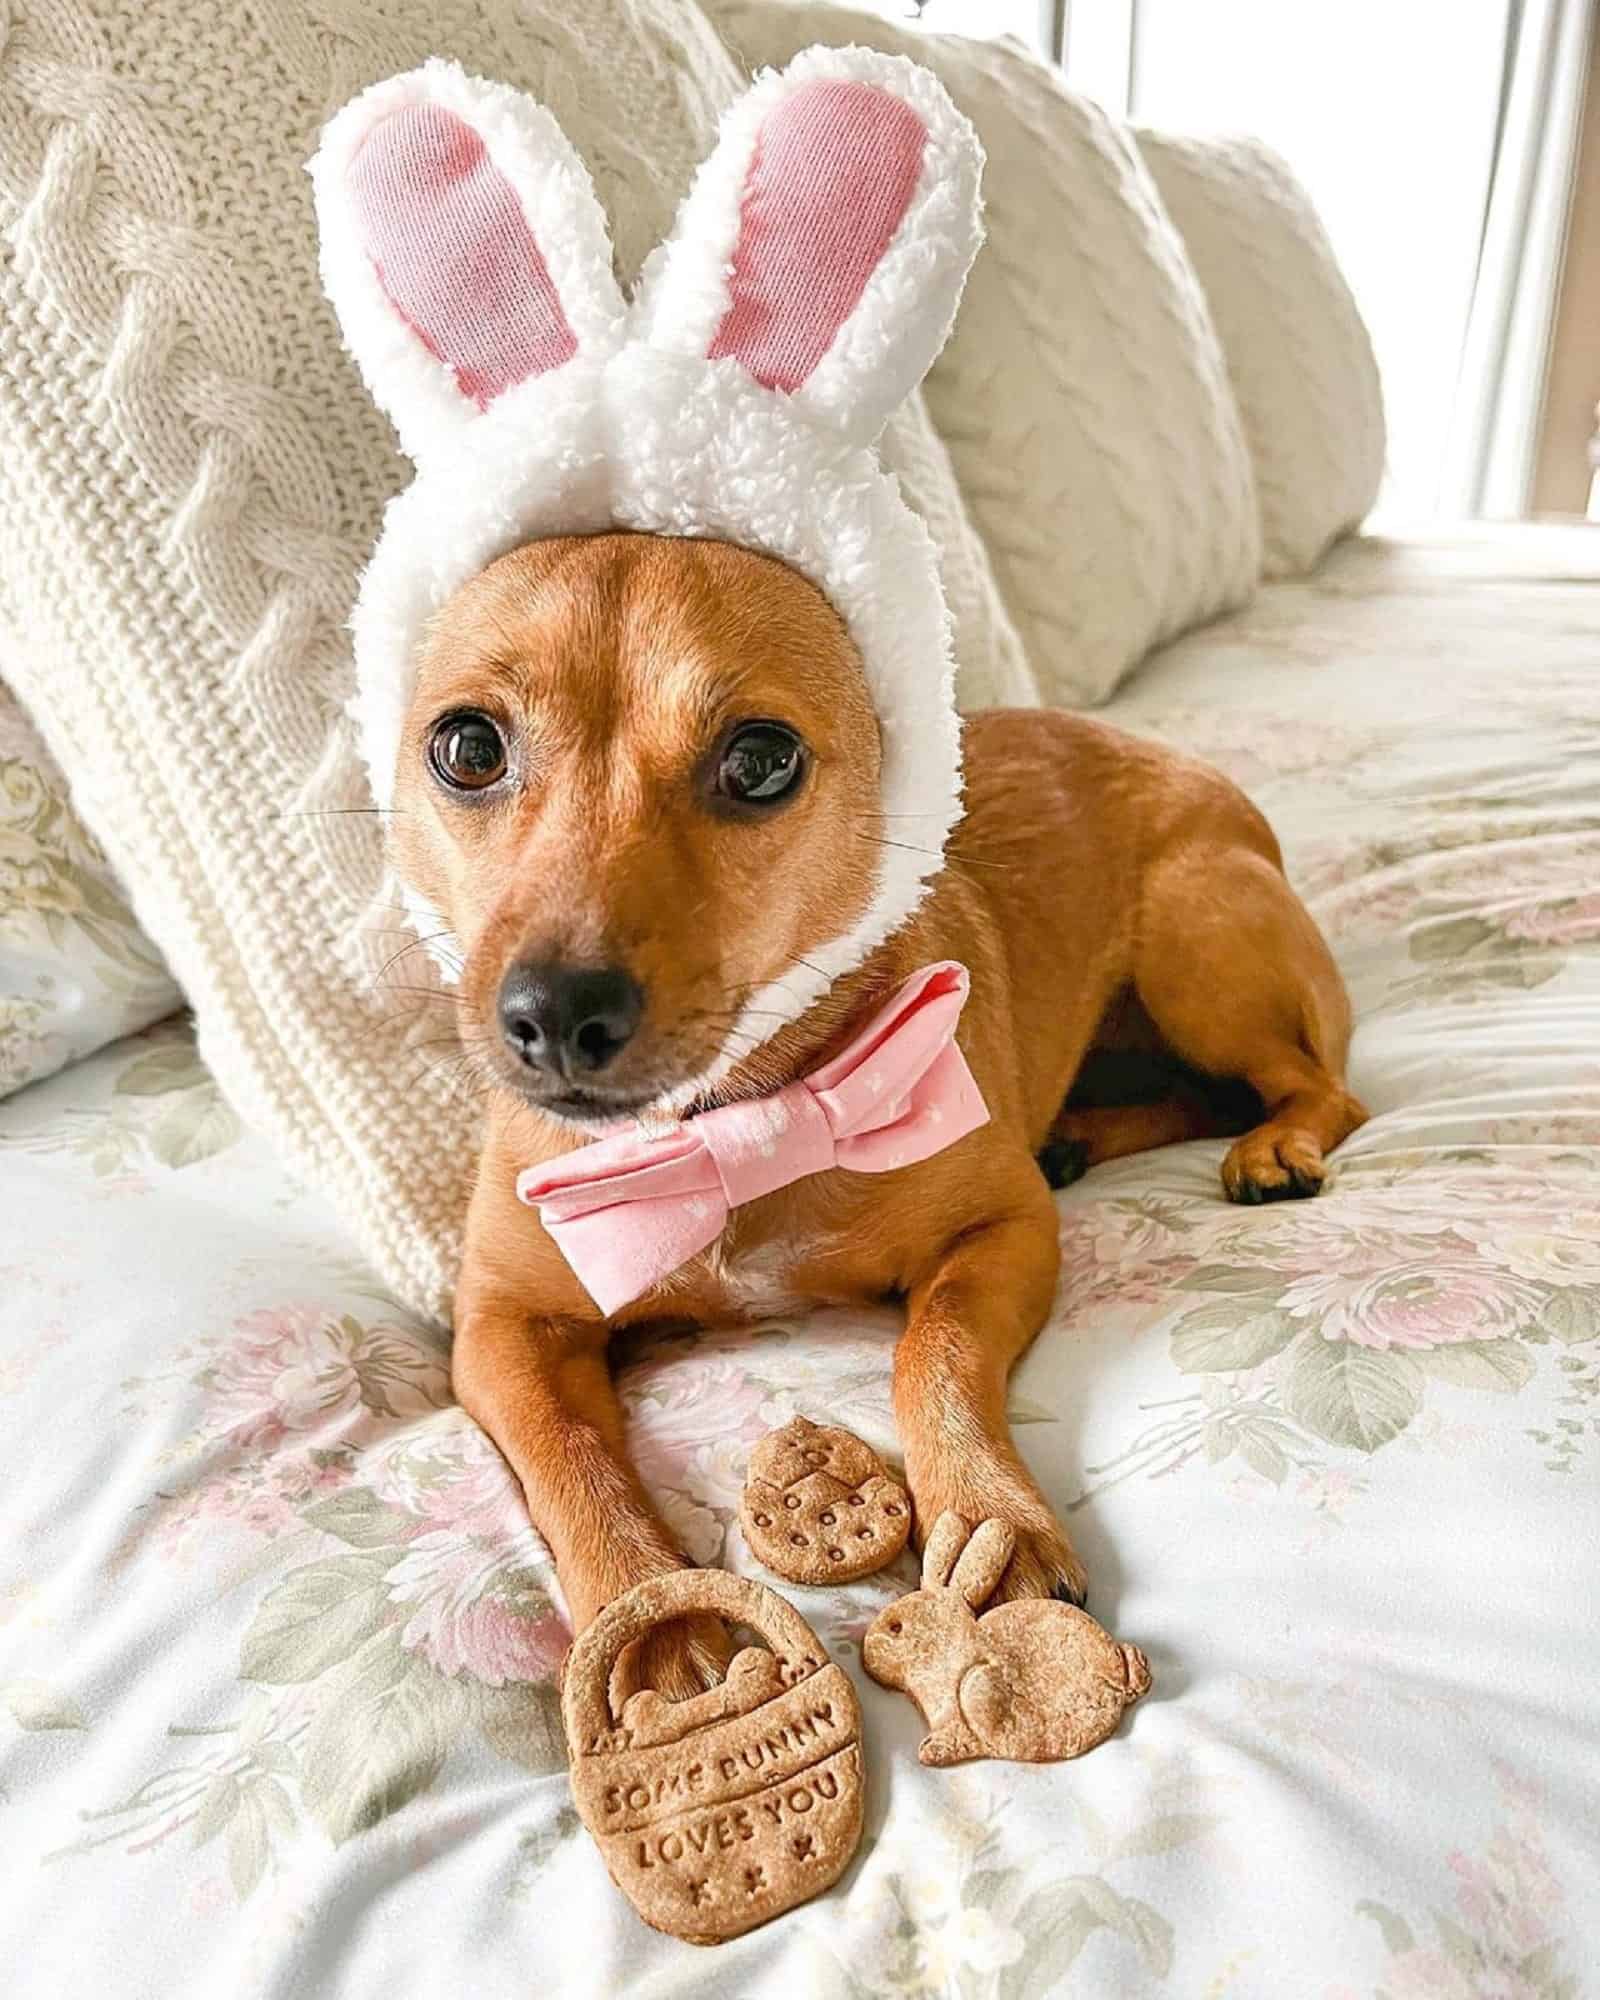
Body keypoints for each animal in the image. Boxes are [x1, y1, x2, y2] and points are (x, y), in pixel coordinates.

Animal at [390, 524, 1360, 1696]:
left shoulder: (1004, 1231)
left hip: (1197, 944)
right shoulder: (501, 1328)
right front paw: (651, 1614)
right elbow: (571, 1460)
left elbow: (932, 1348)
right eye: (467, 748)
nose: (557, 1011)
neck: (733, 1125)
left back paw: (1275, 1144)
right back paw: (1083, 1134)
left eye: (761, 760)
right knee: (1186, 1094)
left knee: (1317, 1085)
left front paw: (989, 1520)